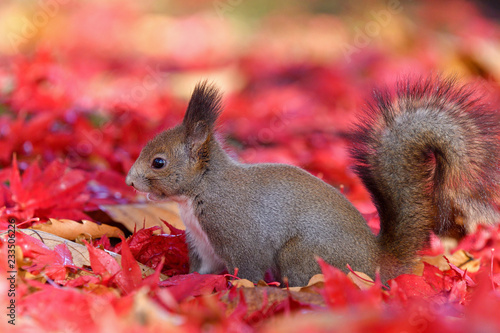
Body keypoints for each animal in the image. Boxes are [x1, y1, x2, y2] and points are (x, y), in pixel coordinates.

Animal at [125, 78, 500, 286]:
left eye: (159, 162)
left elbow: (247, 269)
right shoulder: (201, 243)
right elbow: (202, 269)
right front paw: (181, 282)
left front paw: (239, 291)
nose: (129, 182)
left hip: (303, 256)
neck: (202, 190)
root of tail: (376, 262)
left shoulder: (237, 233)